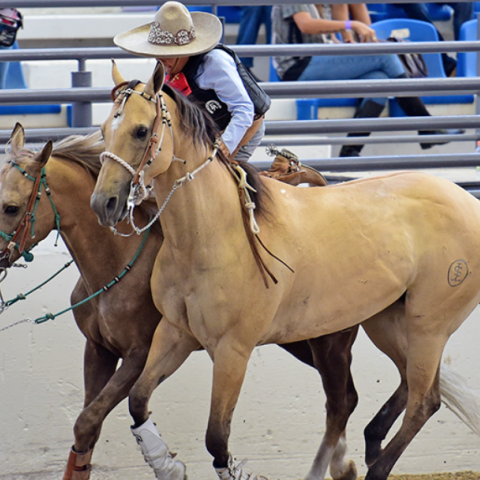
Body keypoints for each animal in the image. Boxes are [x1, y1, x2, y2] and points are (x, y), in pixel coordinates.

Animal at [89, 61, 480, 480]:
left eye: (140, 130)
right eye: (104, 129)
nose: (103, 203)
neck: (212, 232)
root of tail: (467, 200)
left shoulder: (232, 350)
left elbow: (217, 438)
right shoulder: (175, 332)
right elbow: (138, 399)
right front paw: (167, 465)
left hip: (428, 327)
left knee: (424, 402)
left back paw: (375, 465)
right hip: (387, 321)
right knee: (406, 387)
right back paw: (371, 442)